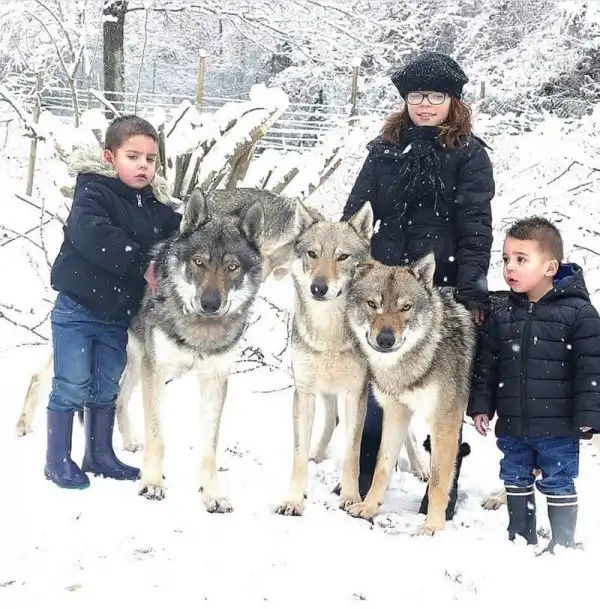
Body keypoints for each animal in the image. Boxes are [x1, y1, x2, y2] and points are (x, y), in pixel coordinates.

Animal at [344, 253, 476, 535]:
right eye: (373, 304)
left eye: (405, 307)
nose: (385, 339)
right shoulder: (396, 412)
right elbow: (382, 467)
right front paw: (369, 507)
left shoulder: (445, 421)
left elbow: (438, 480)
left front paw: (433, 527)